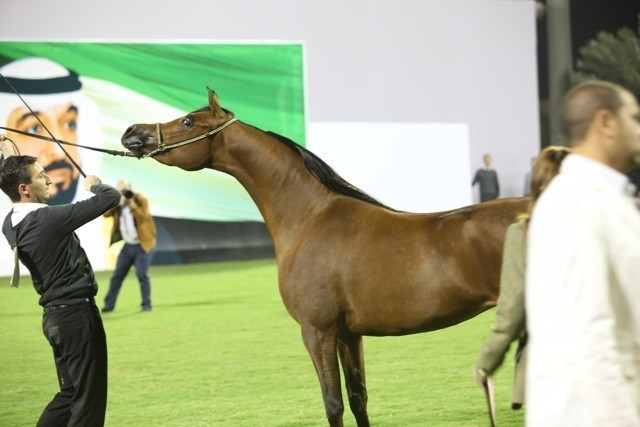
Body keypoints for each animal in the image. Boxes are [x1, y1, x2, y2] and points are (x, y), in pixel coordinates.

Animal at [121, 88, 529, 426]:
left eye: (188, 121)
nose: (131, 133)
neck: (311, 218)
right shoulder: (349, 335)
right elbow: (358, 398)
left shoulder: (317, 332)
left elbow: (333, 403)